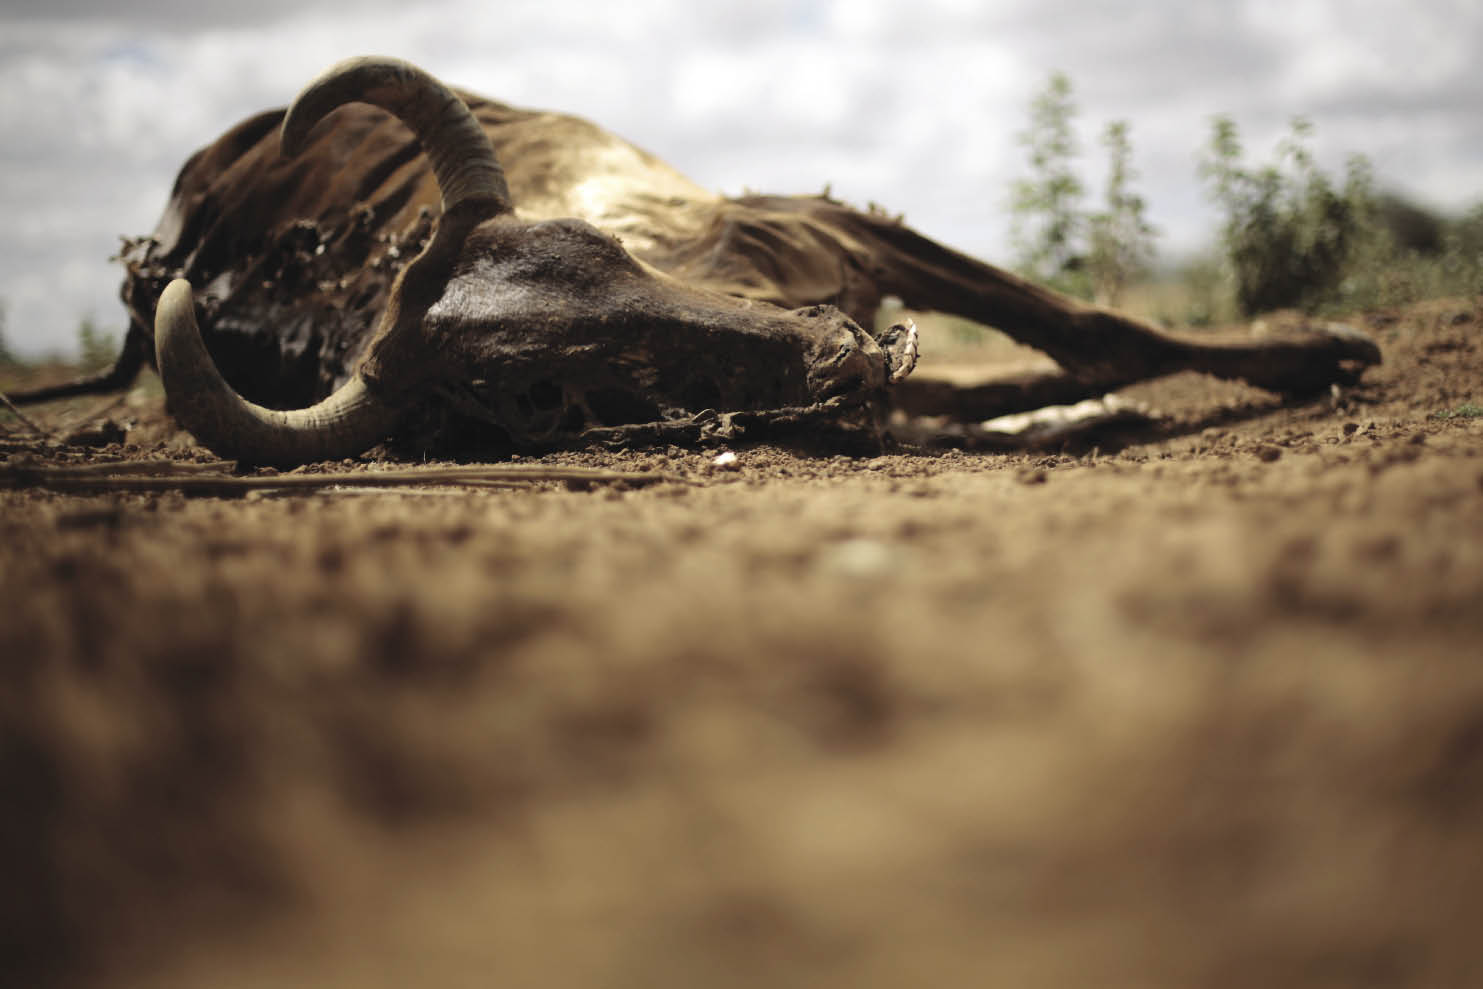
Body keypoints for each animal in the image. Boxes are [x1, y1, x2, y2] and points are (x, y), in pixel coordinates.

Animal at [21, 56, 1379, 466]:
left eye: (601, 246)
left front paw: (1320, 344)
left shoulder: (834, 226)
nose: (838, 350)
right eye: (542, 398)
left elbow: (1084, 324)